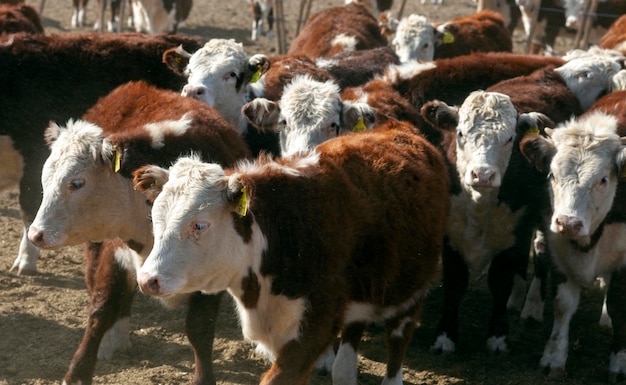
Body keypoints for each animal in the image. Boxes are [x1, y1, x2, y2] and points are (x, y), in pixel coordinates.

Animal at [26, 81, 251, 384]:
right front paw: (78, 372)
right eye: (45, 178)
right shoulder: (115, 251)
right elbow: (100, 311)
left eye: (77, 182)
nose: (36, 234)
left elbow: (200, 328)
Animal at [133, 122, 448, 384]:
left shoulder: (313, 329)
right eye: (155, 218)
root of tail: (401, 128)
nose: (148, 279)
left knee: (397, 341)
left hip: (411, 292)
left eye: (199, 225)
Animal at [420, 89, 552, 352]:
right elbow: (455, 284)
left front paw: (498, 336)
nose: (482, 174)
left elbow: (500, 284)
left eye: (510, 138)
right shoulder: (450, 235)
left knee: (541, 252)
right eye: (460, 133)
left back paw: (532, 306)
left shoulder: (511, 237)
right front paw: (445, 337)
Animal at [520, 105, 626, 380]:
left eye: (603, 180)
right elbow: (563, 305)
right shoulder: (559, 251)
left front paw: (619, 363)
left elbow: (620, 305)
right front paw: (553, 357)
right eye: (551, 174)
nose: (568, 223)